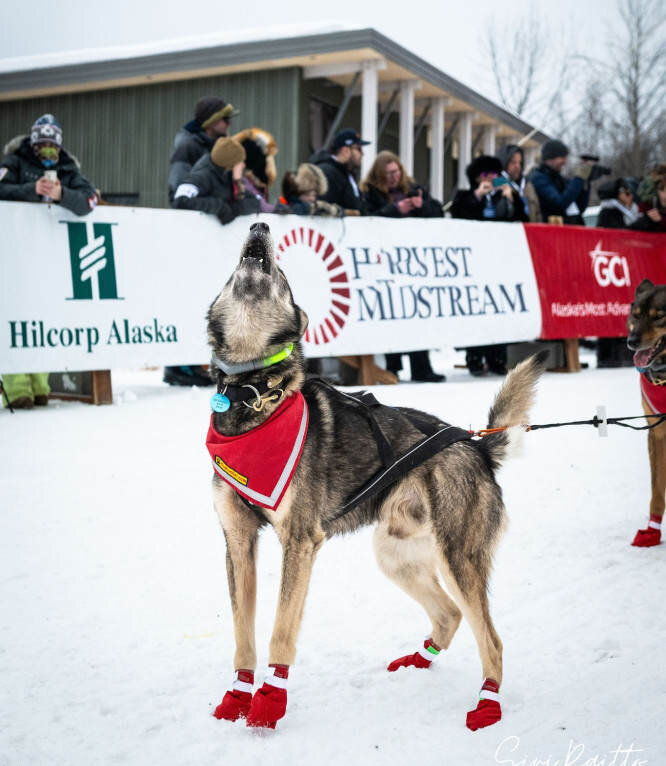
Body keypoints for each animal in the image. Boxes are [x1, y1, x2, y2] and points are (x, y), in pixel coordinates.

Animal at [206, 222, 544, 732]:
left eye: (282, 277)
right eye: (232, 274)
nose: (260, 227)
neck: (253, 395)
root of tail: (477, 445)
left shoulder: (300, 542)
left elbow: (280, 632)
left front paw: (269, 703)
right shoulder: (238, 542)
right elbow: (242, 635)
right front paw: (239, 696)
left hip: (457, 558)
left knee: (492, 638)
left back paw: (488, 704)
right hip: (394, 554)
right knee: (449, 615)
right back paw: (418, 661)